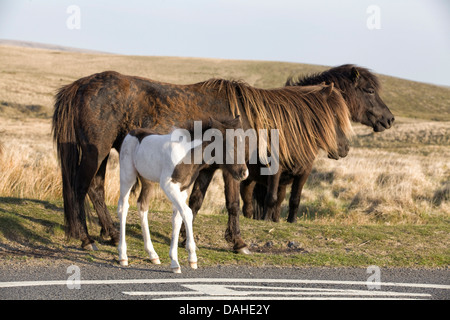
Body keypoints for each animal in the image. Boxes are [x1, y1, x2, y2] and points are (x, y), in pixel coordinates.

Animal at [118, 116, 248, 272]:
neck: (187, 154)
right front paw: (192, 257)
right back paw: (123, 256)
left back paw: (152, 254)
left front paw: (175, 262)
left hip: (148, 181)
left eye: (243, 144)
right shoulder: (168, 185)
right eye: (228, 145)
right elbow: (187, 213)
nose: (244, 173)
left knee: (142, 206)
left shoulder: (182, 189)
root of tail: (131, 133)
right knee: (123, 207)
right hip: (127, 176)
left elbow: (177, 219)